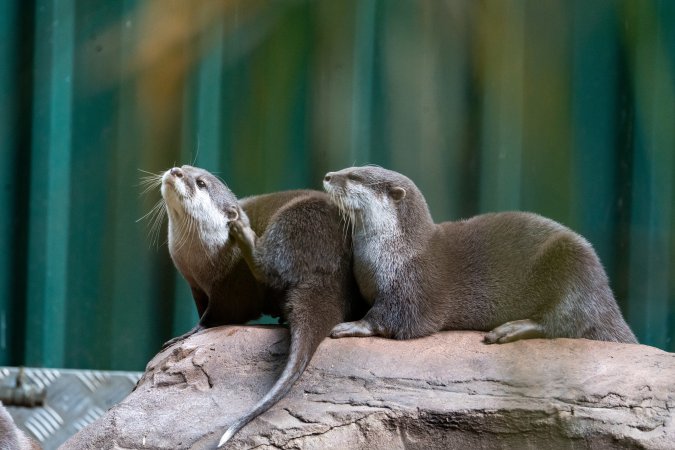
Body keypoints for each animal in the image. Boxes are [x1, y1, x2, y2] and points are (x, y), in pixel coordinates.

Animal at [152, 165, 363, 447]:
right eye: (185, 168)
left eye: (200, 183)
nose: (175, 170)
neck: (202, 258)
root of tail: (332, 266)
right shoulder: (194, 286)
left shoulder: (231, 288)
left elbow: (217, 315)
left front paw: (187, 334)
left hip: (298, 217)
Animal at [322, 165, 637, 344]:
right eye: (352, 166)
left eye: (353, 177)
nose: (327, 176)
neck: (395, 251)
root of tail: (608, 300)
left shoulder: (415, 283)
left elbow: (399, 320)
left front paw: (354, 325)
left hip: (574, 265)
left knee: (566, 320)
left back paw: (511, 329)